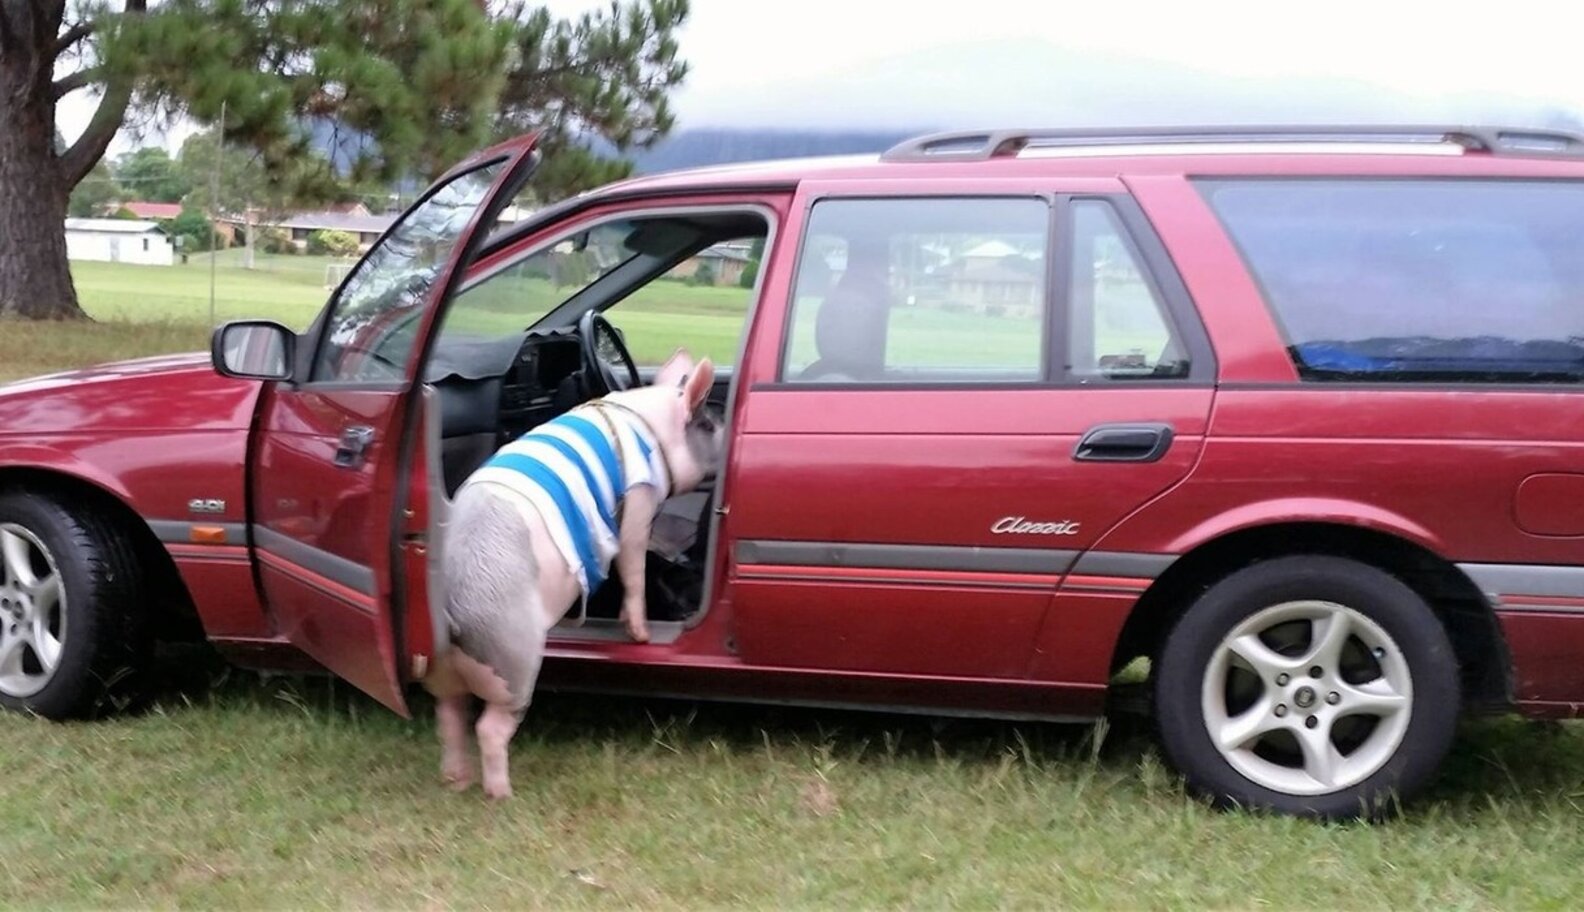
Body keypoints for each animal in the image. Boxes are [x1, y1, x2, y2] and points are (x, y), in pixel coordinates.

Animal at [420, 348, 723, 799]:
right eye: (708, 425)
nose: (728, 430)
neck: (652, 429)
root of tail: (451, 610)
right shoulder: (640, 497)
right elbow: (633, 562)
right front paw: (640, 635)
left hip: (445, 673)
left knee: (450, 717)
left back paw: (457, 782)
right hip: (516, 657)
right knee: (489, 727)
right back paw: (502, 795)